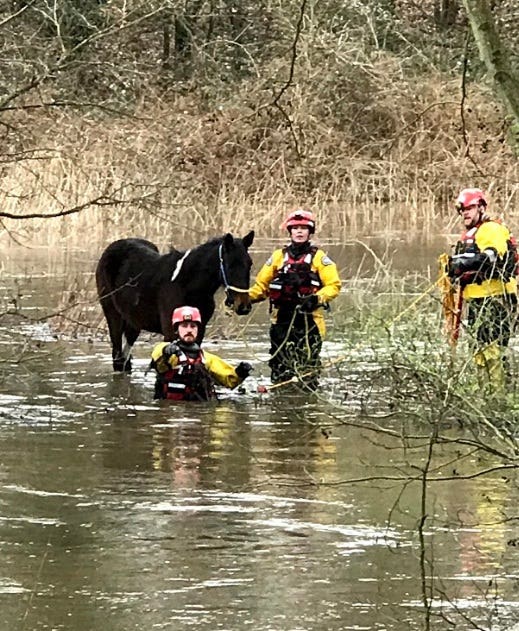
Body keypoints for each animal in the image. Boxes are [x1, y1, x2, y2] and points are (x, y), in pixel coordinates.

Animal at [96, 231, 255, 370]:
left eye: (250, 264)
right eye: (230, 265)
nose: (243, 306)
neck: (187, 284)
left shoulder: (198, 331)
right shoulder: (170, 333)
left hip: (133, 321)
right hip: (113, 315)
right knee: (118, 358)